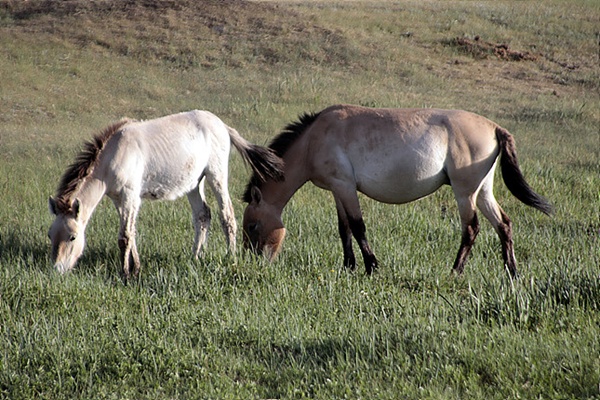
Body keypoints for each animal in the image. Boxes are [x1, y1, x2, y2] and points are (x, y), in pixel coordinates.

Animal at [48, 109, 282, 278]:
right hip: (194, 184)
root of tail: (221, 125)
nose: (57, 270)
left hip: (216, 176)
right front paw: (136, 268)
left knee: (227, 217)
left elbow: (124, 237)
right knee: (202, 215)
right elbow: (132, 233)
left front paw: (125, 274)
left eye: (72, 237)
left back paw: (230, 257)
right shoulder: (119, 200)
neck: (115, 153)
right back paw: (196, 257)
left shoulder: (130, 196)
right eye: (50, 235)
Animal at [241, 104, 552, 276]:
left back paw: (455, 271)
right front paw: (348, 266)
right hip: (483, 191)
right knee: (504, 224)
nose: (253, 262)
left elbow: (358, 226)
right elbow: (344, 229)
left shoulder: (345, 186)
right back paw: (512, 273)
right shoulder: (338, 190)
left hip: (465, 193)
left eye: (253, 226)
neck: (314, 139)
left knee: (471, 228)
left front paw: (371, 266)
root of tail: (495, 127)